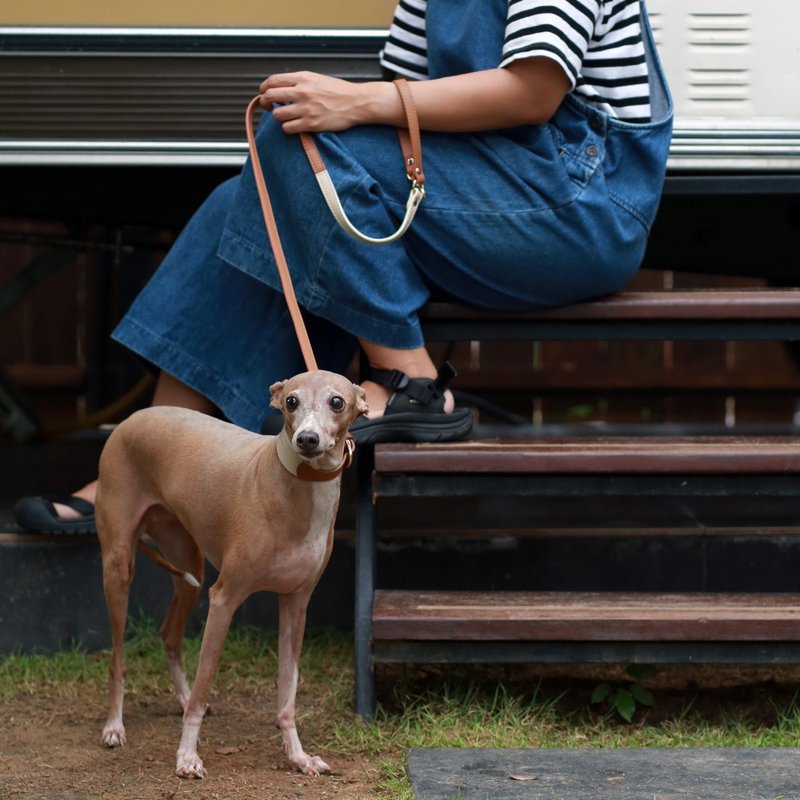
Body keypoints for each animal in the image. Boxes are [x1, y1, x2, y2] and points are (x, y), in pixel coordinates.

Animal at [97, 372, 368, 780]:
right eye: (291, 401)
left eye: (337, 402)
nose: (307, 439)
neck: (293, 488)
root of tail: (132, 418)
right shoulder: (224, 598)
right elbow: (205, 684)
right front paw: (187, 756)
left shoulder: (296, 604)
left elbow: (287, 693)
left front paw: (298, 756)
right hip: (118, 566)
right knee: (118, 658)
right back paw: (115, 726)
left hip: (188, 569)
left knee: (169, 634)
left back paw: (179, 695)